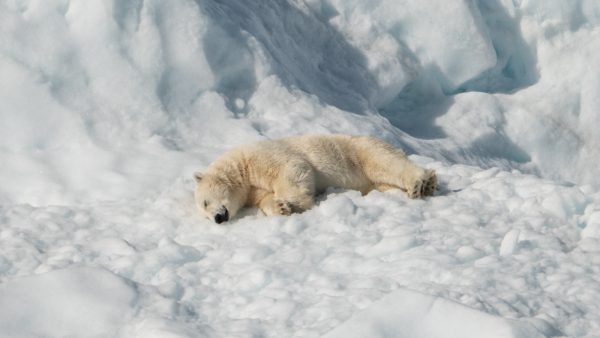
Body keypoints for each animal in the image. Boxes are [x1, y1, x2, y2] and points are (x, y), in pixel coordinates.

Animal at [195, 133, 434, 223]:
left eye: (205, 202)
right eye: (205, 213)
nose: (217, 218)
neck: (240, 167)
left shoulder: (262, 157)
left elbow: (293, 168)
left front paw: (296, 204)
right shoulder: (252, 189)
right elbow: (264, 198)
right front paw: (281, 207)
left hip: (359, 150)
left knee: (385, 163)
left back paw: (422, 183)